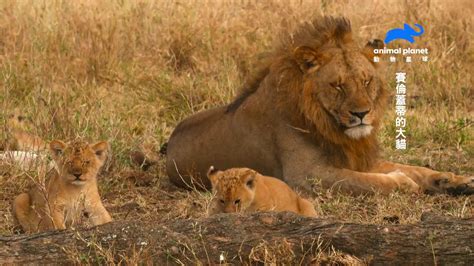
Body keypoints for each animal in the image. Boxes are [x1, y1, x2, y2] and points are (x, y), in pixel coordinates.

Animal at [165, 16, 472, 195]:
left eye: (366, 81)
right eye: (337, 85)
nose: (362, 114)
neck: (329, 125)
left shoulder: (357, 158)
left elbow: (415, 168)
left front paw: (453, 180)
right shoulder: (306, 176)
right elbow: (367, 181)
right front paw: (402, 183)